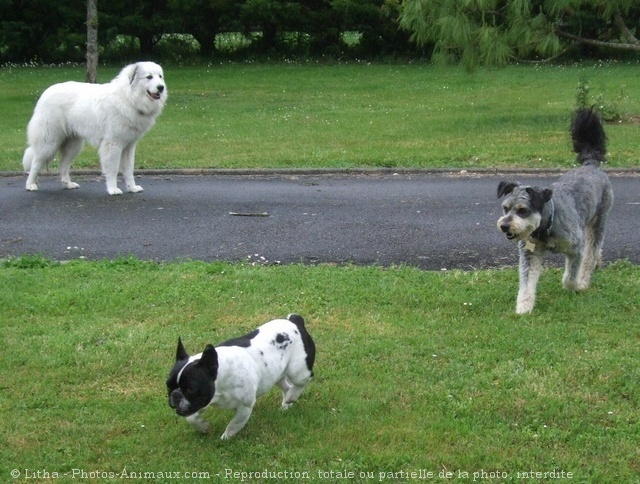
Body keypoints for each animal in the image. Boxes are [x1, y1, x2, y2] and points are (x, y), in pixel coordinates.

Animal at [22, 62, 166, 195]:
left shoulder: (129, 146)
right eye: (149, 77)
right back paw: (30, 184)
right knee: (35, 162)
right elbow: (113, 169)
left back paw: (68, 184)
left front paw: (132, 188)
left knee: (63, 165)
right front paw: (113, 189)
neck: (128, 98)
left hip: (73, 146)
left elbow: (129, 169)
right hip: (49, 143)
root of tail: (45, 93)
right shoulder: (112, 145)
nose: (161, 87)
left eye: (160, 76)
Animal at [165, 314, 316, 438]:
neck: (220, 376)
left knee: (303, 381)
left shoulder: (245, 406)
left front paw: (226, 437)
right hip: (275, 375)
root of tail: (295, 321)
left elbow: (234, 424)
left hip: (297, 370)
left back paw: (292, 396)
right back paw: (287, 402)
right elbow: (191, 417)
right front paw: (202, 426)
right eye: (168, 385)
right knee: (287, 386)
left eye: (191, 388)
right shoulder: (203, 400)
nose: (175, 395)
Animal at [498, 109, 612, 314]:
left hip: (599, 221)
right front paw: (524, 307)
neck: (546, 226)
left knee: (591, 252)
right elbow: (526, 283)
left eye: (522, 210)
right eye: (505, 208)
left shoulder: (575, 248)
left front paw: (576, 286)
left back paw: (586, 278)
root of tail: (590, 165)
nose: (504, 225)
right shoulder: (530, 255)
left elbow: (571, 275)